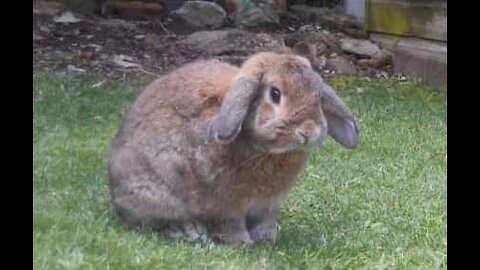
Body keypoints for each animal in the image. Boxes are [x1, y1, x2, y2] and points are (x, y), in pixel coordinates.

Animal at [107, 51, 358, 245]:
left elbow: (265, 220)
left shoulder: (269, 203)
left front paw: (268, 236)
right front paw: (243, 242)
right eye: (275, 94)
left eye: (317, 96)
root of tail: (115, 191)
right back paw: (191, 231)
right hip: (159, 193)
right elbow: (230, 223)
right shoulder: (227, 202)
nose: (308, 131)